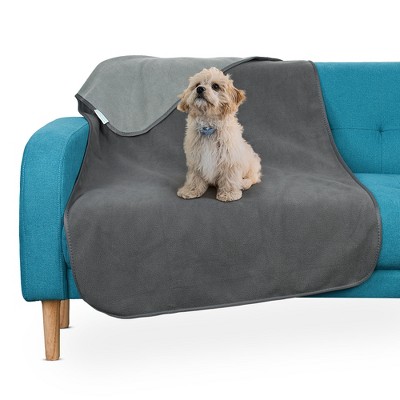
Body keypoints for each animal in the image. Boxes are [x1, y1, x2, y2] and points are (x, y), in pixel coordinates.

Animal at [177, 67, 261, 202]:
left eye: (215, 86)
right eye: (197, 84)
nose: (199, 89)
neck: (209, 126)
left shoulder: (230, 159)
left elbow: (229, 177)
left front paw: (229, 194)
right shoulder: (196, 159)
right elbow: (195, 177)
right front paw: (191, 190)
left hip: (253, 164)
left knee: (253, 178)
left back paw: (244, 183)